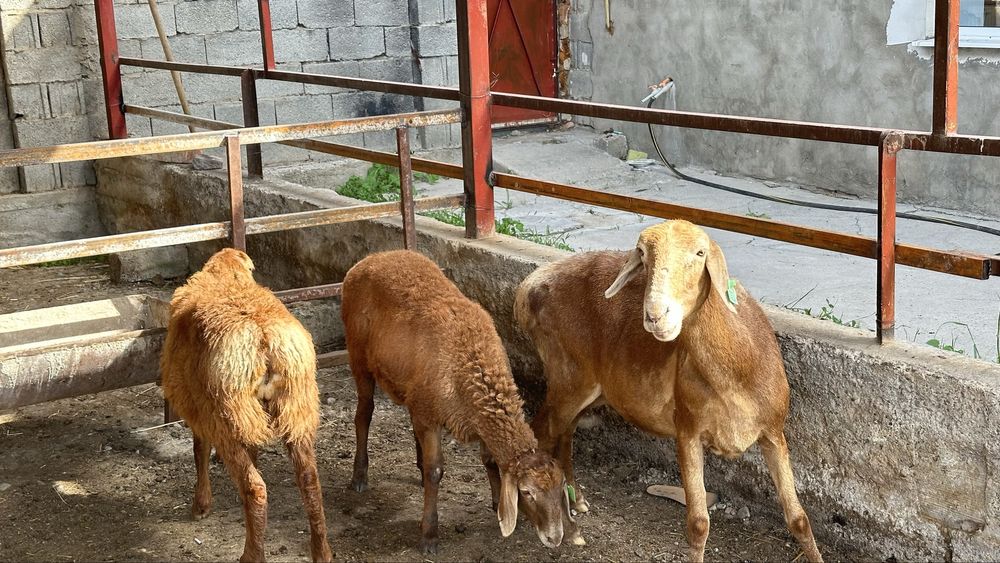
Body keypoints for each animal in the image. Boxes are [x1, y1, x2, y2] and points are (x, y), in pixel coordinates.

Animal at [160, 248, 333, 563]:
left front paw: (201, 505)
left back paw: (252, 554)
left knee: (255, 487)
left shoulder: (198, 407)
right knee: (309, 480)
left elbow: (199, 450)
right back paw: (321, 552)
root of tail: (264, 339)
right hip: (297, 406)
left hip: (226, 414)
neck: (227, 279)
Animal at [340, 249, 580, 554]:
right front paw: (429, 535)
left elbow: (488, 460)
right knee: (364, 414)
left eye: (560, 487)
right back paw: (359, 476)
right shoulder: (431, 417)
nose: (555, 537)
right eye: (527, 492)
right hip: (358, 356)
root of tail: (372, 258)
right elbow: (436, 471)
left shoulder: (457, 413)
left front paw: (496, 503)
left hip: (412, 390)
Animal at [515, 220, 822, 563]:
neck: (739, 370)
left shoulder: (773, 432)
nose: (656, 315)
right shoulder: (687, 430)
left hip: (586, 386)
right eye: (643, 255)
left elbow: (798, 518)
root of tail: (528, 287)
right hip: (567, 376)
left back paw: (576, 499)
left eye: (700, 253)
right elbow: (699, 523)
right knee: (541, 433)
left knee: (564, 432)